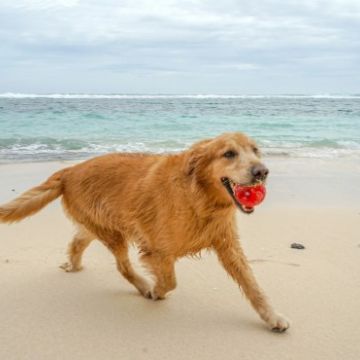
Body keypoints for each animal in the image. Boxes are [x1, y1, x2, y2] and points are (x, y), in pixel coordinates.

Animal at [0, 132, 288, 332]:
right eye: (229, 153)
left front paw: (272, 317)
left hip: (98, 225)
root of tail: (70, 170)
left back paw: (73, 265)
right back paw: (142, 286)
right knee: (122, 267)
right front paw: (156, 291)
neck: (199, 197)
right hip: (113, 233)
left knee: (78, 241)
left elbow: (253, 286)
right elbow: (170, 281)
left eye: (255, 150)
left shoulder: (228, 246)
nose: (262, 171)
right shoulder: (158, 248)